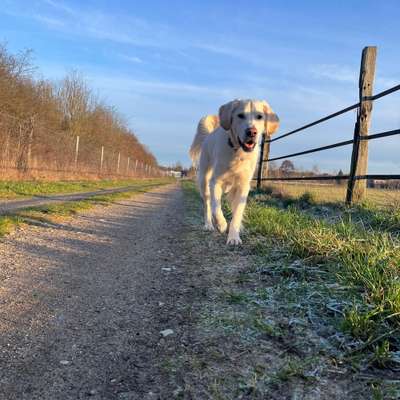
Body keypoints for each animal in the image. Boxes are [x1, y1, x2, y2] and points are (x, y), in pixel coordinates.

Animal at [190, 98, 278, 245]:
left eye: (259, 116)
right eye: (240, 115)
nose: (251, 132)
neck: (237, 152)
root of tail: (208, 136)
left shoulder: (243, 186)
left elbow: (237, 213)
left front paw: (234, 236)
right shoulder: (215, 182)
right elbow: (216, 207)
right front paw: (222, 224)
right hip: (204, 180)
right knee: (207, 204)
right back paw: (208, 224)